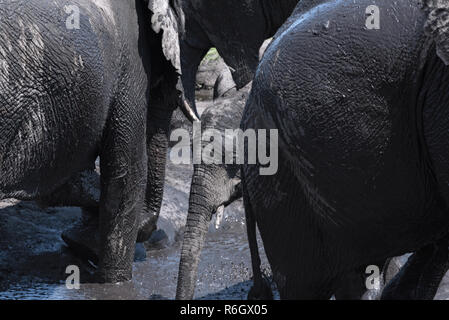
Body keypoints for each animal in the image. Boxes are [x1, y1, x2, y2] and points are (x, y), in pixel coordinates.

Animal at [0, 0, 187, 280]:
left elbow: (59, 182)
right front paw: (115, 282)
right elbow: (126, 175)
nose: (149, 232)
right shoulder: (131, 63)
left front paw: (83, 241)